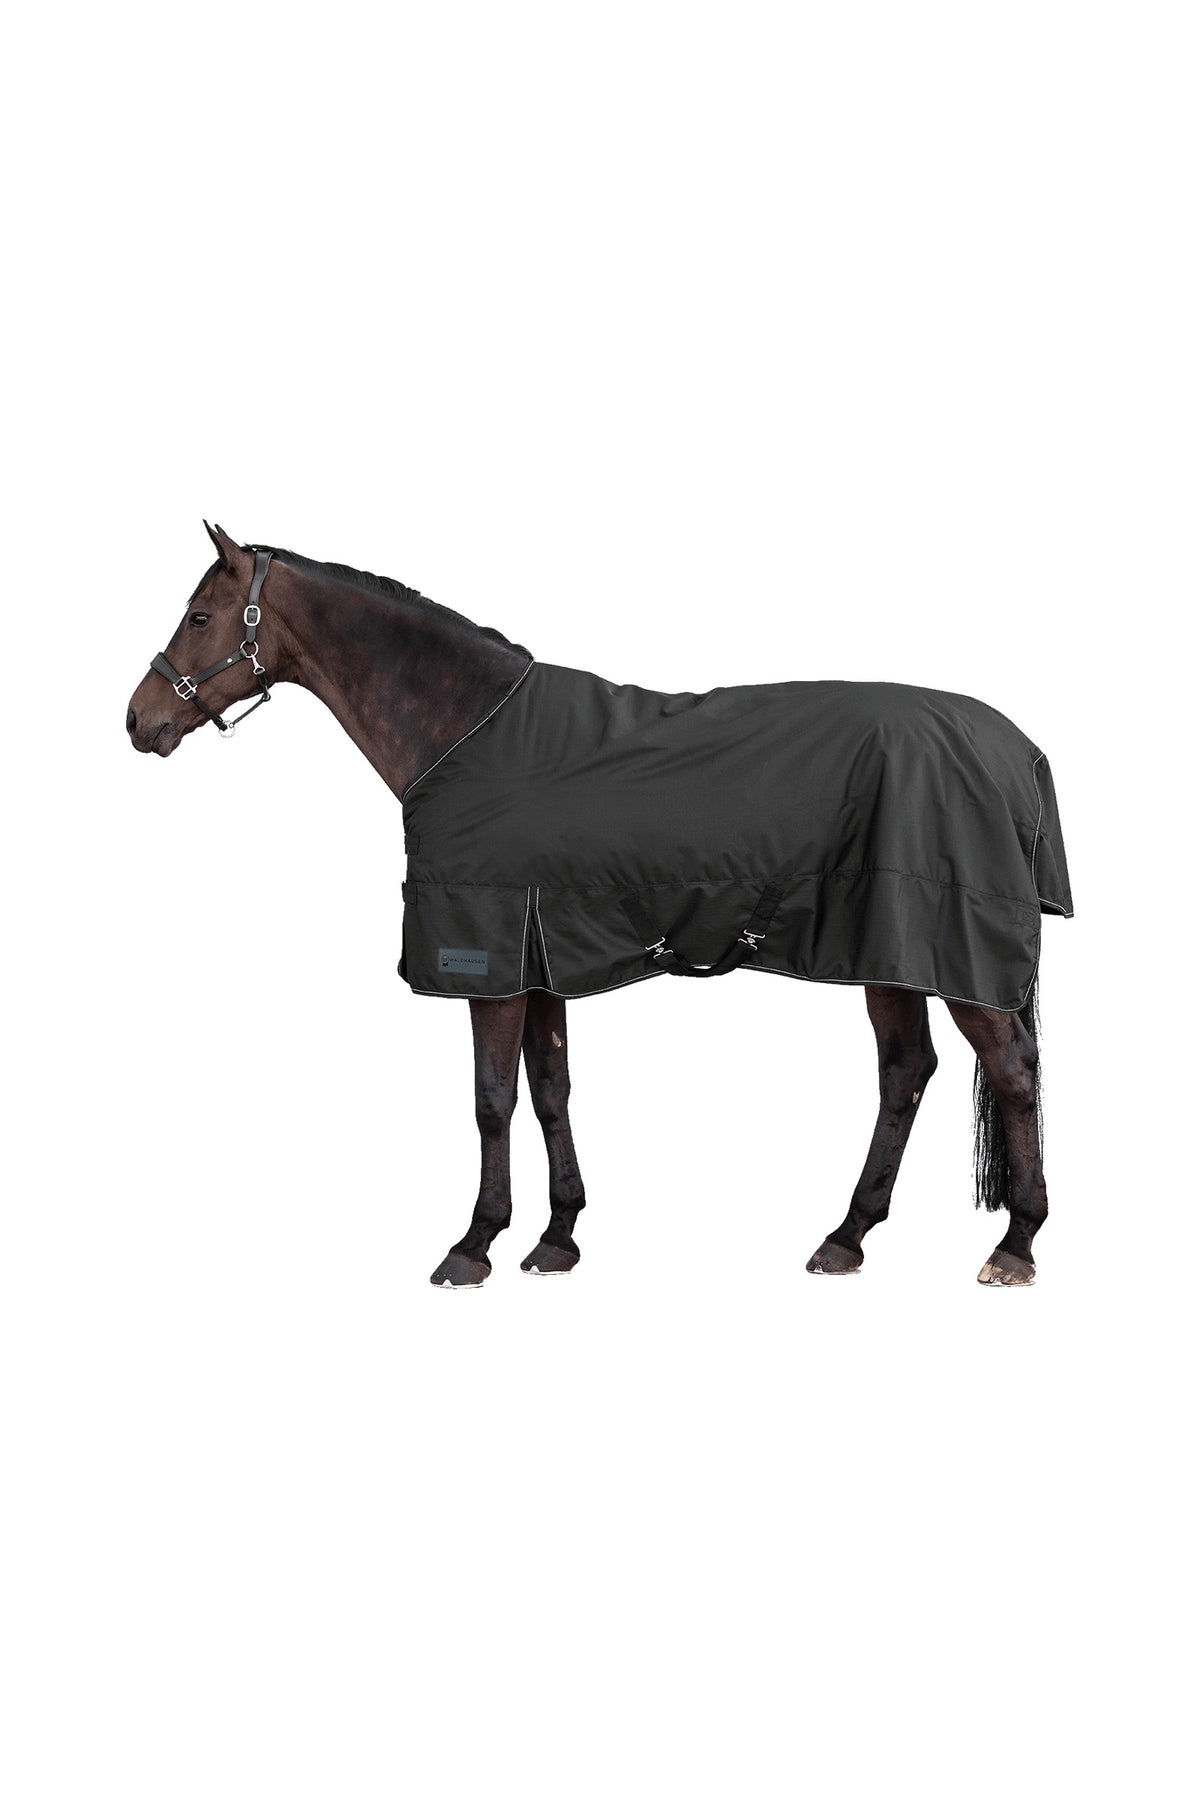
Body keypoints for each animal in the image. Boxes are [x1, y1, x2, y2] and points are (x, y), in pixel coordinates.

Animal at [127, 523, 1072, 1289]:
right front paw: (557, 1238)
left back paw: (1015, 1246)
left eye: (201, 618)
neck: (465, 731)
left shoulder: (490, 957)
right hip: (888, 949)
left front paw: (473, 1245)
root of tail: (1018, 750)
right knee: (906, 1071)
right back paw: (846, 1237)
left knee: (1012, 1071)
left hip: (948, 952)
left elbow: (492, 1102)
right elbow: (551, 1091)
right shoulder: (541, 953)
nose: (139, 721)